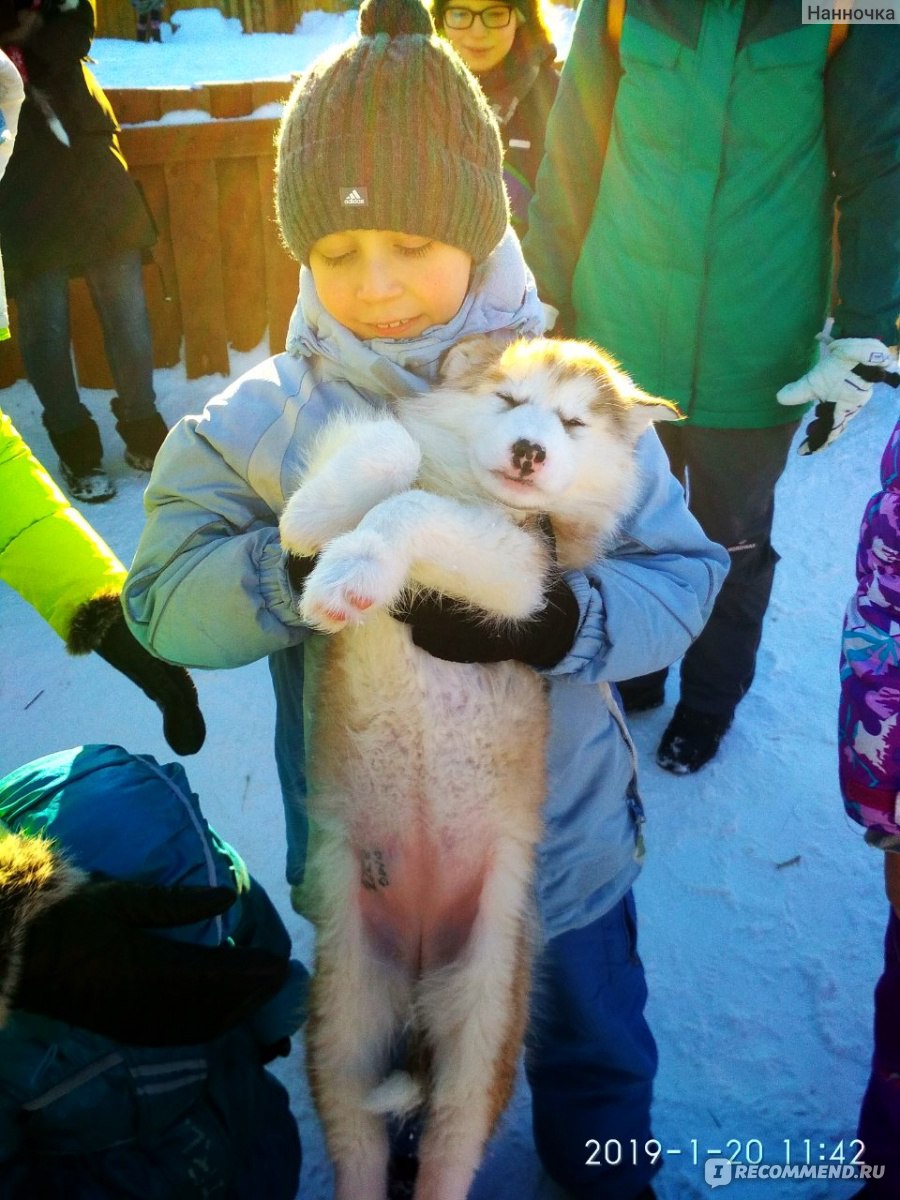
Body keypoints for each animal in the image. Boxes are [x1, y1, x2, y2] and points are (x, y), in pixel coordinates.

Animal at [278, 336, 681, 1200]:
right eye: (507, 401)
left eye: (573, 423)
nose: (531, 450)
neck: (472, 487)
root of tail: (421, 951)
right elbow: (389, 448)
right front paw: (314, 523)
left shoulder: (527, 575)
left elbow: (413, 511)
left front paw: (353, 565)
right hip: (343, 1022)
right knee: (359, 1145)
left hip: (483, 1030)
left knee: (446, 1152)